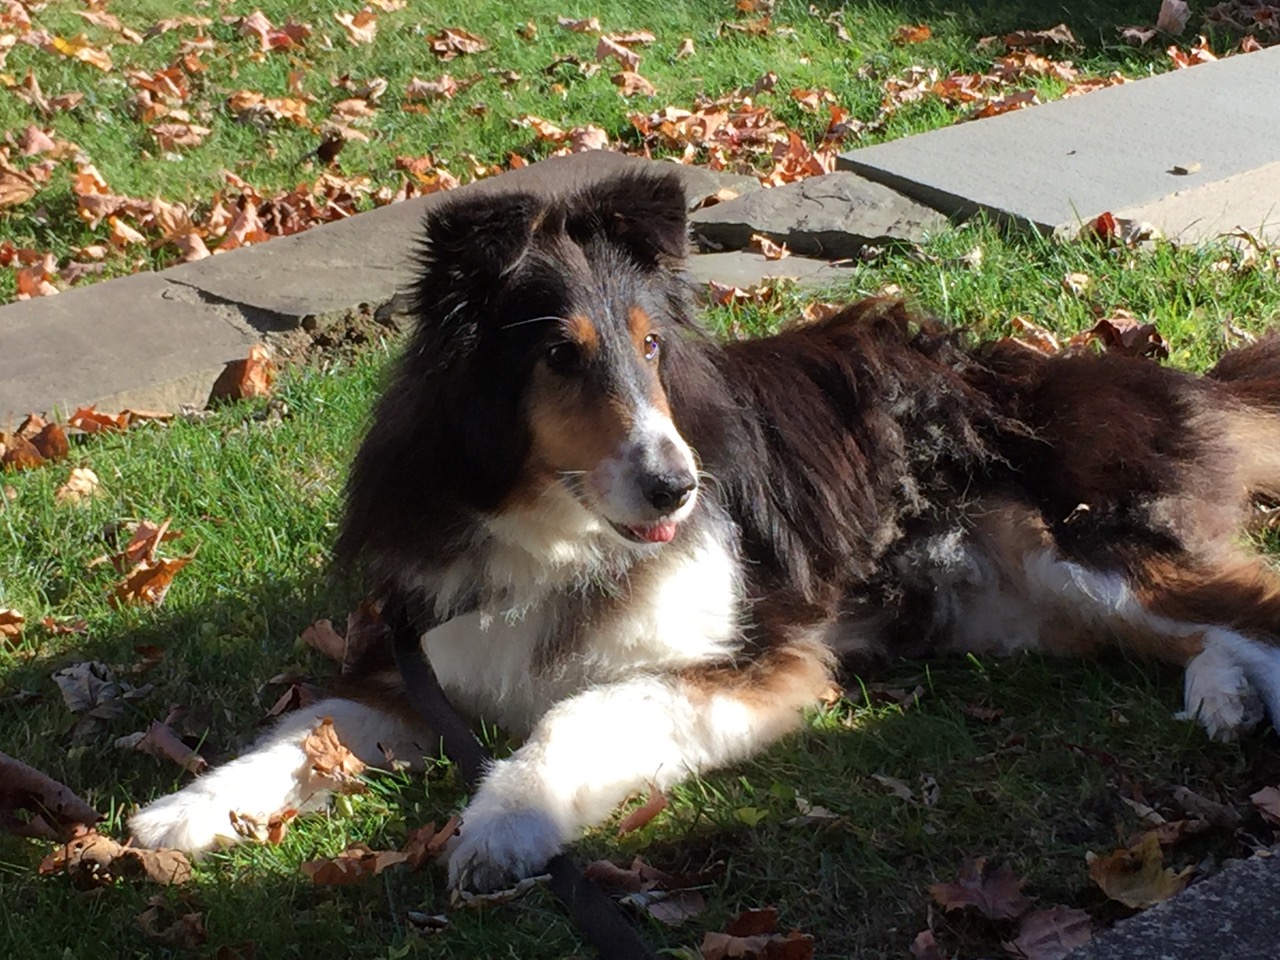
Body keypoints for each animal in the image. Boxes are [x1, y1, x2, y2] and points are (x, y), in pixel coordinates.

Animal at [129, 167, 1280, 896]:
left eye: (649, 346)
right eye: (560, 355)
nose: (678, 490)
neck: (559, 538)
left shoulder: (756, 660)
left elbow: (577, 716)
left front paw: (502, 824)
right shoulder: (423, 663)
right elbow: (300, 729)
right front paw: (180, 817)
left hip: (1080, 552)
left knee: (1246, 604)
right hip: (1017, 609)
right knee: (1210, 629)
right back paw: (1219, 698)